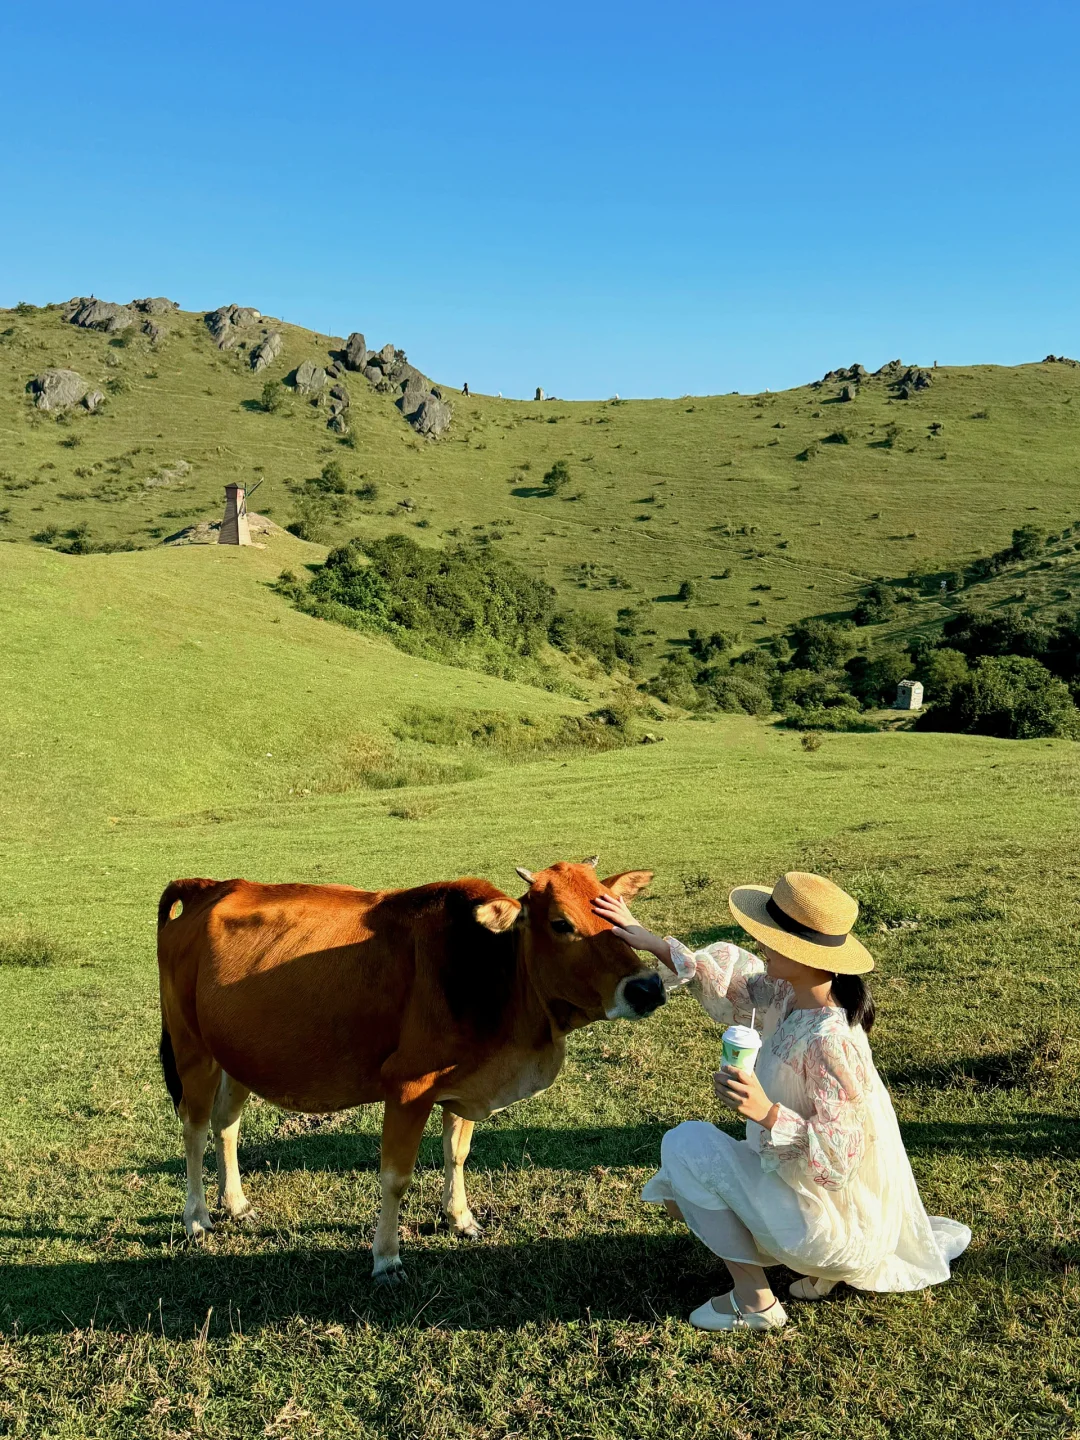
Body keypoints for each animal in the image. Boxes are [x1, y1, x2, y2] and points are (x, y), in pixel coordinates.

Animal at [152, 852, 659, 1284]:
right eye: (560, 923)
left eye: (618, 911)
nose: (648, 987)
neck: (489, 969)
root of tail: (207, 888)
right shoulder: (408, 1088)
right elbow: (395, 1177)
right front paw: (386, 1257)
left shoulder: (463, 1084)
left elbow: (457, 1153)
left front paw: (460, 1217)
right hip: (192, 1050)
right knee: (195, 1129)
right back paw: (197, 1218)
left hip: (235, 1057)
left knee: (226, 1125)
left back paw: (236, 1204)